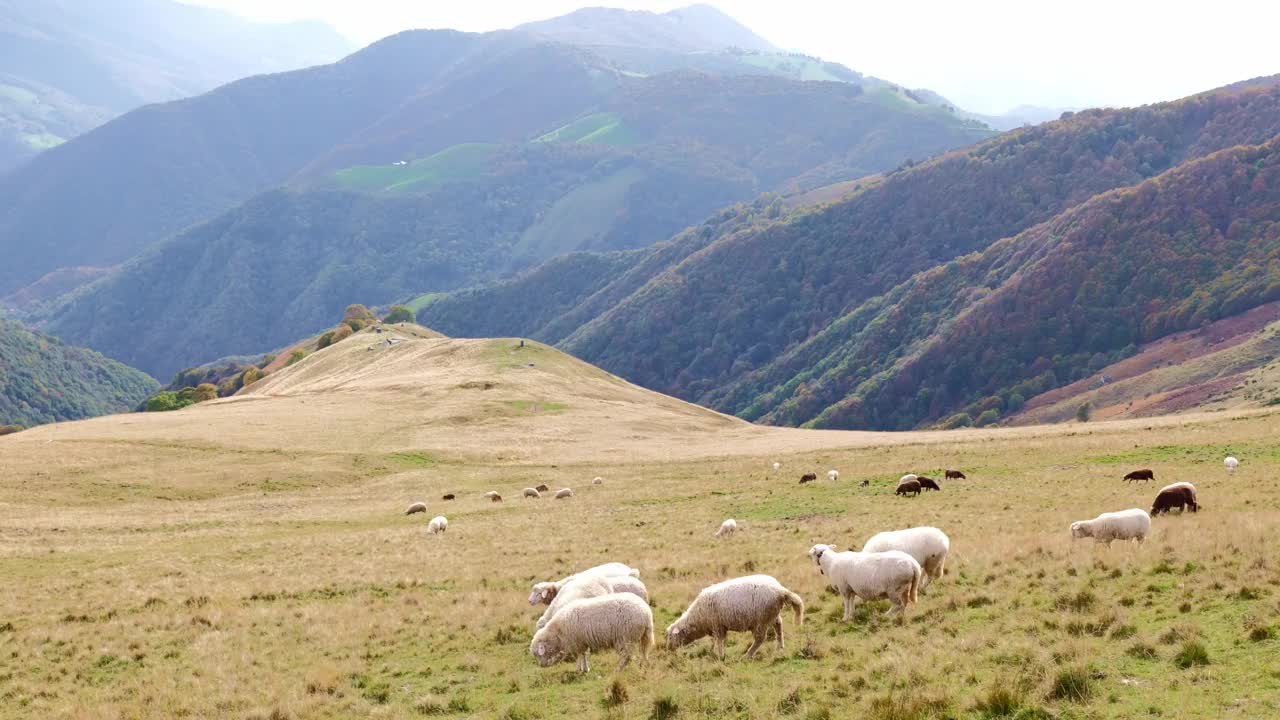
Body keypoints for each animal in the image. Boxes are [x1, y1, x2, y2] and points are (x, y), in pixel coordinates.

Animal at [665, 573, 803, 661]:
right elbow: (717, 642)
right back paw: (780, 647)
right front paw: (714, 652)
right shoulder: (719, 627)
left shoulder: (717, 626)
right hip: (772, 615)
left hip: (760, 621)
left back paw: (747, 656)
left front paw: (720, 656)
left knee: (760, 639)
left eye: (672, 637)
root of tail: (780, 590)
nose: (669, 649)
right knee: (779, 626)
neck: (697, 618)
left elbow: (719, 642)